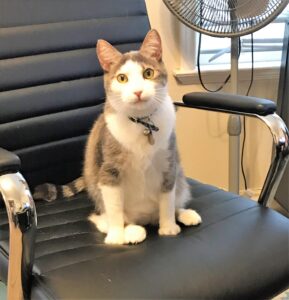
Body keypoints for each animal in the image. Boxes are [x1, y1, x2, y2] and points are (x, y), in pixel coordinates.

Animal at [33, 29, 200, 245]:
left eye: (148, 73)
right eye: (122, 78)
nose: (138, 91)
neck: (142, 124)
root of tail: (146, 218)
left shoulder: (168, 164)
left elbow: (167, 199)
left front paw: (168, 226)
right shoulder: (108, 170)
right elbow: (113, 208)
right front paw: (117, 236)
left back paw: (184, 214)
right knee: (101, 217)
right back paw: (131, 231)